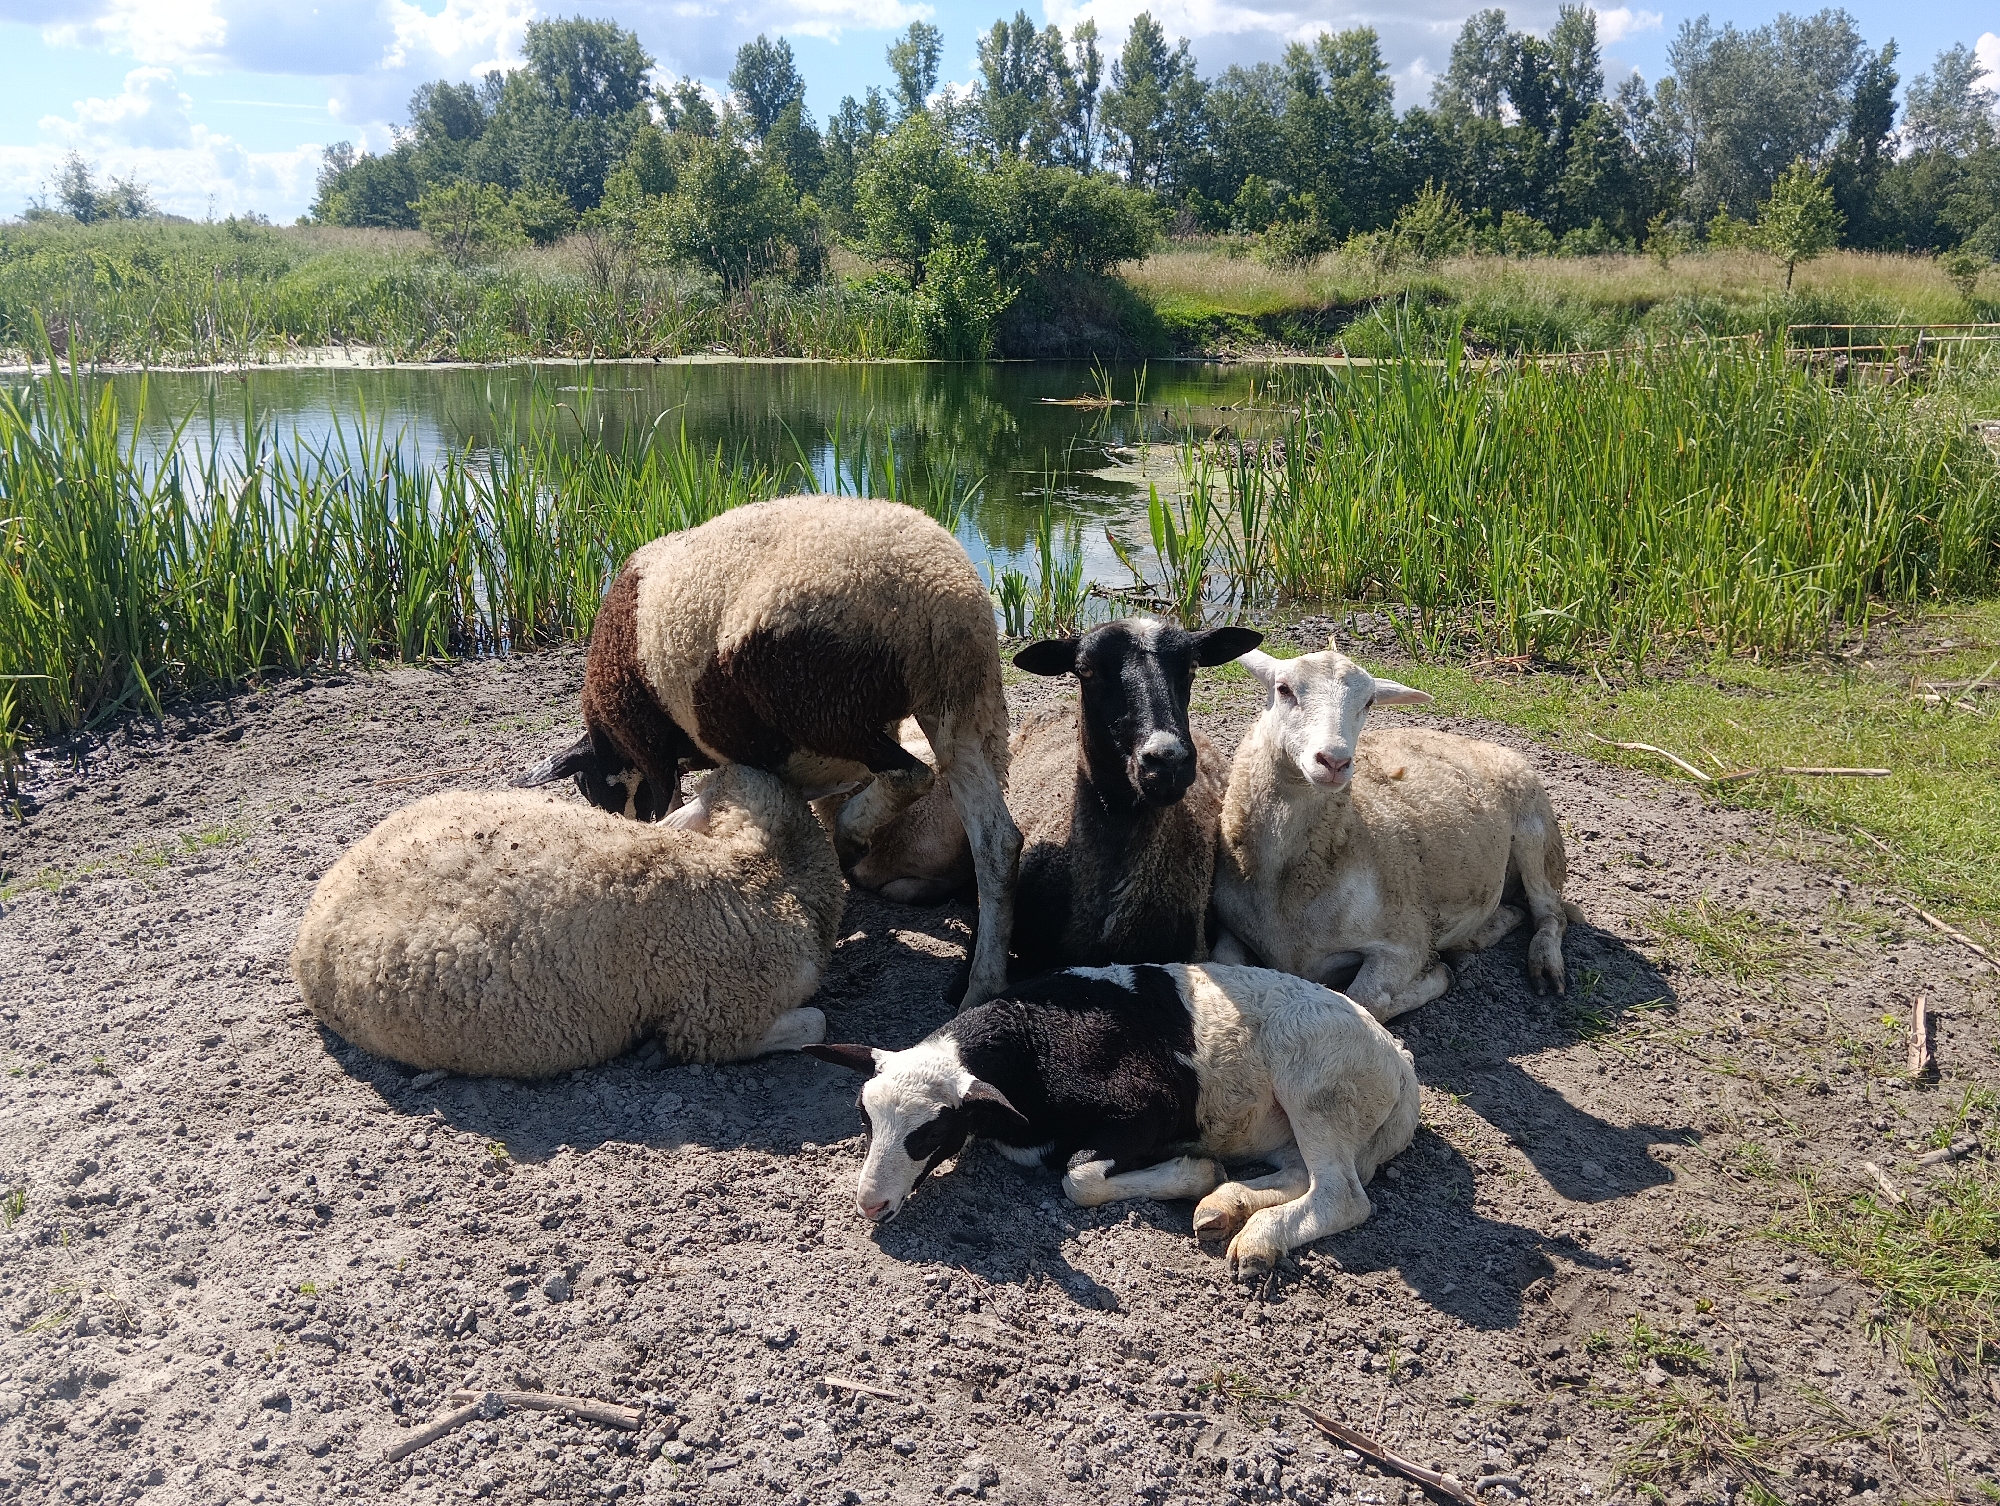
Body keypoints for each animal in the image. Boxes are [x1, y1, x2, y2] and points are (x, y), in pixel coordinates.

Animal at [515, 495, 1021, 1008]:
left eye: (589, 789)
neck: (613, 744)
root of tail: (940, 594)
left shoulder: (652, 749)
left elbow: (673, 808)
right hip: (957, 706)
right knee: (996, 841)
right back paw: (981, 985)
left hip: (823, 705)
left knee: (909, 775)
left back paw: (851, 836)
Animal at [808, 962, 1419, 1278]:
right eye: (865, 1119)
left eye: (930, 1132)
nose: (871, 1204)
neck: (1031, 1041)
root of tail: (1401, 1067)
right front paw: (1209, 1185)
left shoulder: (1151, 1108)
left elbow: (1077, 1178)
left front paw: (1194, 1172)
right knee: (1300, 1175)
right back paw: (1228, 1209)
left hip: (1316, 1083)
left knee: (1342, 1195)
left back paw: (1253, 1232)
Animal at [1211, 642, 1580, 1022]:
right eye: (1284, 689)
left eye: (1368, 702)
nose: (1335, 761)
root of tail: (1474, 741)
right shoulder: (1229, 927)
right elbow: (1223, 963)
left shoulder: (1404, 940)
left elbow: (1367, 1001)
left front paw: (1435, 977)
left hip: (1536, 832)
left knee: (1550, 912)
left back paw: (1544, 964)